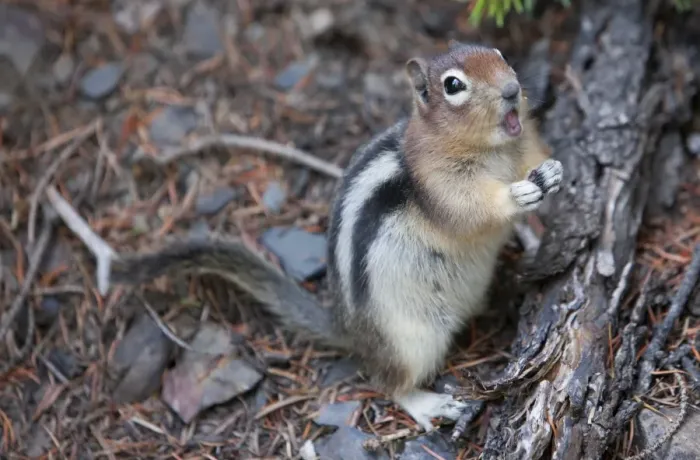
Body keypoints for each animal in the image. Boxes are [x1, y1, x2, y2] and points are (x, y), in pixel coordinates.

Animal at [109, 41, 563, 432]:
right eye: (454, 86)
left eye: (499, 54)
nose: (512, 89)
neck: (495, 151)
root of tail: (349, 328)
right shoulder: (441, 185)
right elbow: (471, 210)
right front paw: (516, 194)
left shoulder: (524, 146)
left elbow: (538, 158)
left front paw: (554, 171)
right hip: (411, 339)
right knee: (390, 383)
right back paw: (428, 403)